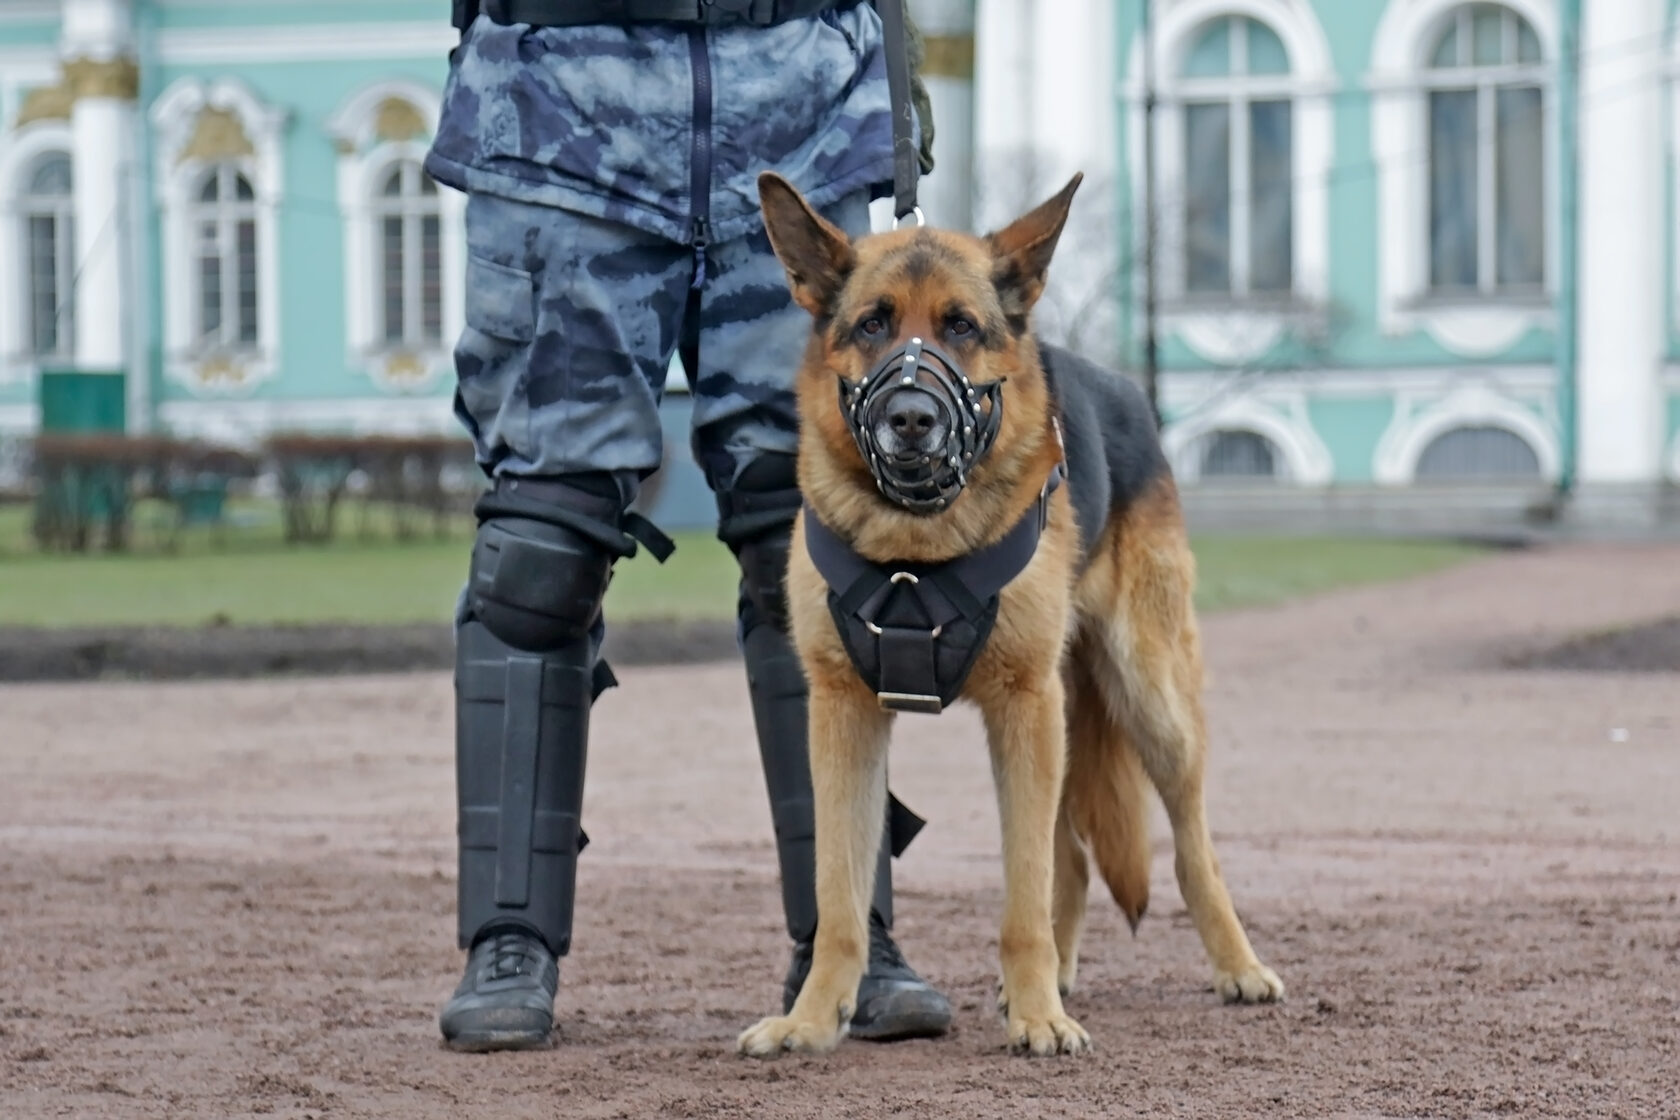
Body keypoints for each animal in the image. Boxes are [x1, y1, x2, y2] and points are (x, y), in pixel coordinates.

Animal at [739, 171, 1283, 1054]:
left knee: (1187, 848)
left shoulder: (1024, 710)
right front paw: (814, 1020)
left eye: (961, 326)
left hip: (1149, 704)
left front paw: (1038, 1019)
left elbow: (1021, 894)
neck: (916, 548)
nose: (912, 419)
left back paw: (1234, 966)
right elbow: (839, 896)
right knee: (1074, 856)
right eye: (872, 324)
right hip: (1062, 720)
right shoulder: (844, 718)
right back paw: (1058, 976)